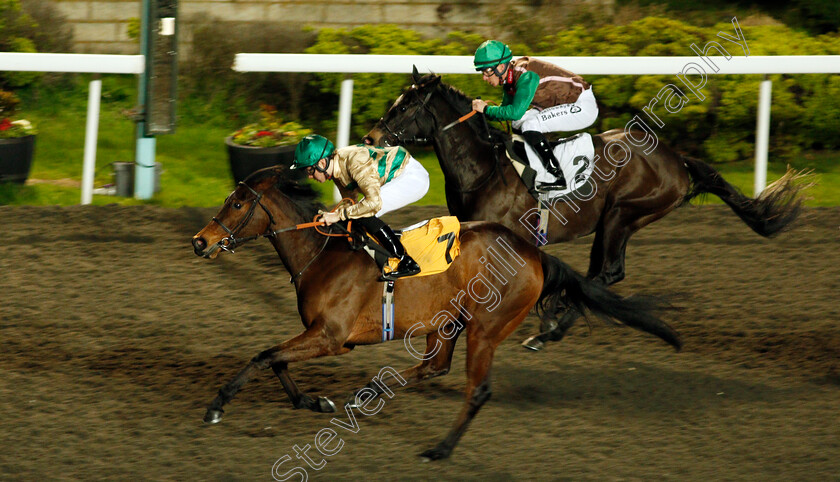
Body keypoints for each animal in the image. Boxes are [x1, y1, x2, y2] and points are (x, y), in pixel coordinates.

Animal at [192, 168, 684, 462]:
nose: (200, 241)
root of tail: (535, 255)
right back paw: (367, 394)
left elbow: (264, 356)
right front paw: (315, 401)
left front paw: (217, 405)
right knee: (434, 367)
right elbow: (276, 361)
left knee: (477, 389)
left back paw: (440, 448)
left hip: (485, 328)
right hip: (446, 321)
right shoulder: (320, 334)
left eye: (237, 204)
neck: (321, 254)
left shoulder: (331, 336)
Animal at [368, 69, 808, 350]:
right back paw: (553, 319)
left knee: (607, 273)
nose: (372, 136)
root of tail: (678, 162)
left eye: (405, 107)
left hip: (623, 214)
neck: (484, 167)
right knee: (600, 274)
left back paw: (548, 329)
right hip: (617, 221)